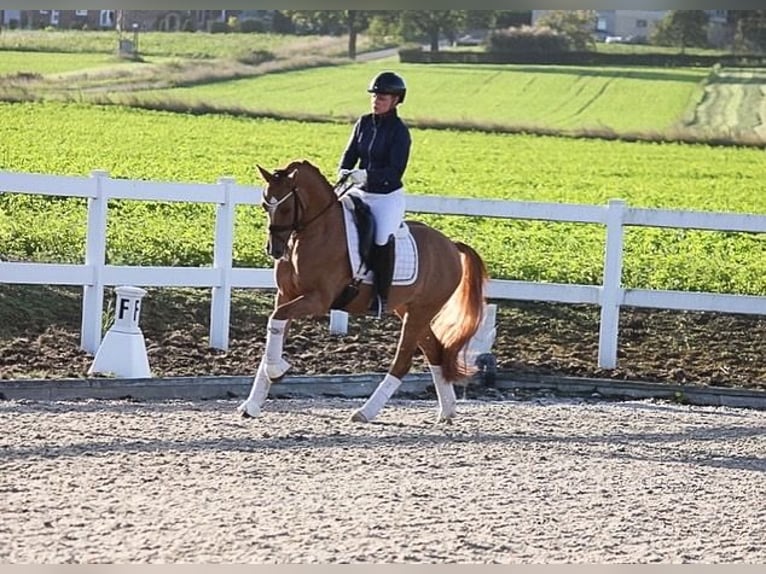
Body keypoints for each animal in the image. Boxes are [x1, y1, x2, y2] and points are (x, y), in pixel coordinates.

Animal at [240, 160, 488, 426]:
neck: (316, 231)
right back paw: (447, 410)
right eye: (265, 205)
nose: (274, 250)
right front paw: (253, 403)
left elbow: (277, 317)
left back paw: (365, 412)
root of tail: (451, 245)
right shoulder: (285, 295)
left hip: (421, 312)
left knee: (402, 362)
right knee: (435, 351)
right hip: (409, 310)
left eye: (286, 208)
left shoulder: (317, 299)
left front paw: (277, 370)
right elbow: (274, 326)